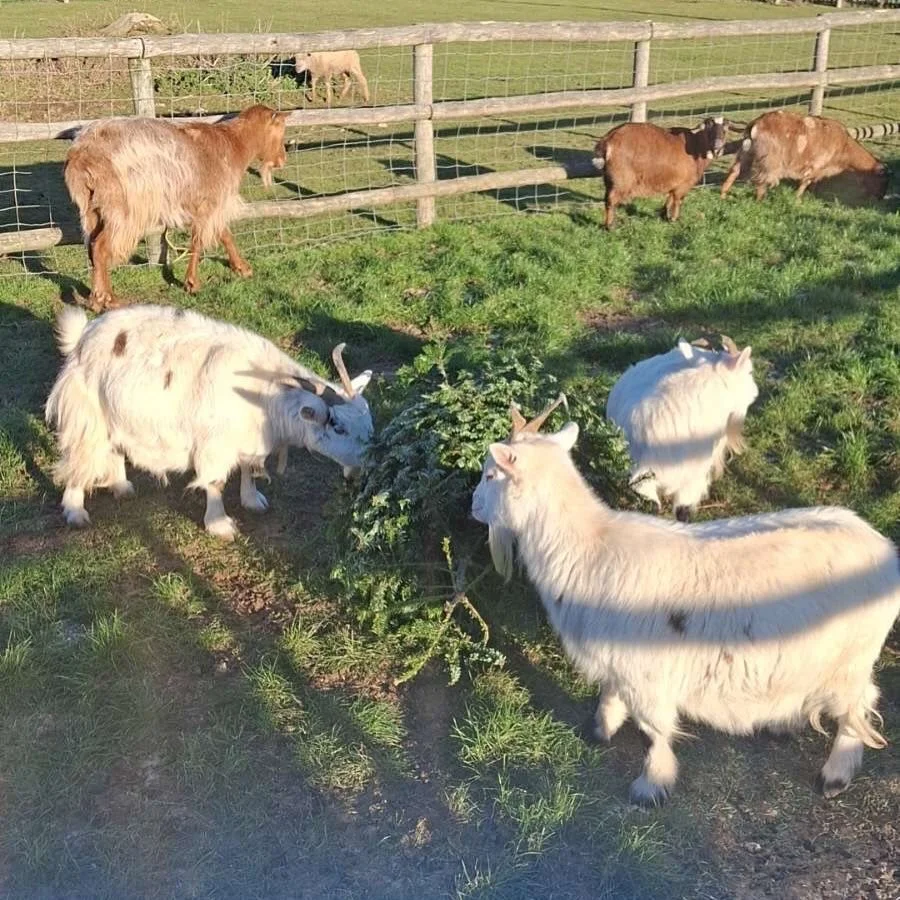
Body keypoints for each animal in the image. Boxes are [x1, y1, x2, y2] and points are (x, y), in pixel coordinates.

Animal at [45, 304, 373, 541]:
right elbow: (215, 481)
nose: (364, 467)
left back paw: (121, 486)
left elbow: (248, 469)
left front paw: (253, 500)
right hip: (87, 414)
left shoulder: (249, 439)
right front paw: (220, 525)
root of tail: (82, 337)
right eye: (338, 426)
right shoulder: (214, 444)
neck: (266, 392)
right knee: (81, 457)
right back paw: (75, 511)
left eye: (369, 421)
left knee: (113, 447)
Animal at [64, 104, 288, 313]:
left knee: (92, 246)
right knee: (101, 247)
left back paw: (95, 300)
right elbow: (199, 242)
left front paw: (241, 268)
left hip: (91, 207)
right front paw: (192, 283)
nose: (282, 160)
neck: (234, 143)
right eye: (281, 129)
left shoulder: (208, 206)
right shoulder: (210, 203)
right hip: (120, 209)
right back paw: (109, 299)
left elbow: (224, 235)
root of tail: (80, 153)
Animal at [471, 399, 900, 806]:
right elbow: (611, 693)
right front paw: (600, 730)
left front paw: (651, 785)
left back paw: (834, 776)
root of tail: (884, 551)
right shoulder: (616, 658)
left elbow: (655, 729)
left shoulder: (647, 671)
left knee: (860, 705)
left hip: (850, 657)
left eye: (491, 474)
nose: (473, 507)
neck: (592, 548)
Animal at [592, 117, 730, 229]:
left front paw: (665, 215)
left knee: (607, 198)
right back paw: (610, 226)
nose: (717, 145)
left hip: (609, 178)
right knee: (611, 200)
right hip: (621, 179)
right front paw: (674, 219)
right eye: (709, 129)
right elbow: (678, 200)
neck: (696, 145)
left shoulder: (674, 181)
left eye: (725, 131)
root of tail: (608, 140)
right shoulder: (684, 184)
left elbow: (670, 197)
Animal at [719, 110, 888, 202]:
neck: (845, 146)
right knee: (762, 179)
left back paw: (723, 194)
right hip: (770, 159)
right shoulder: (816, 164)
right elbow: (805, 182)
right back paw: (760, 200)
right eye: (882, 180)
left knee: (734, 171)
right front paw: (797, 199)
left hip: (746, 152)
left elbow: (813, 183)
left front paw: (810, 195)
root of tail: (754, 124)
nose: (881, 197)